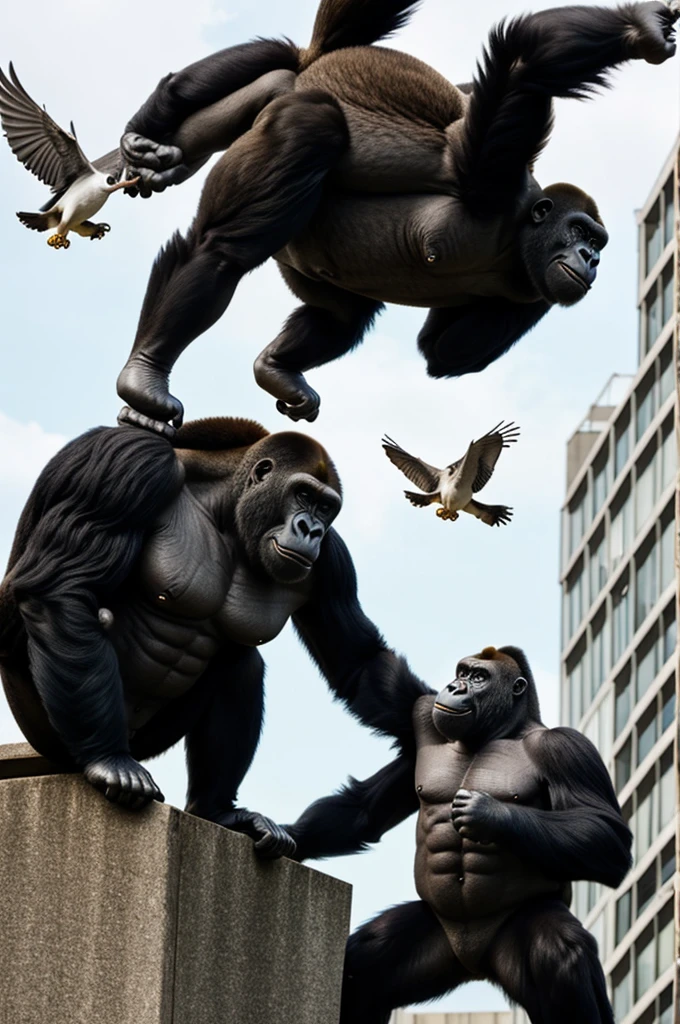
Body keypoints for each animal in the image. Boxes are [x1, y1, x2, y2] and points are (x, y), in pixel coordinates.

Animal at [0, 415, 428, 856]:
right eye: (303, 494)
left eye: (326, 507)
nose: (311, 528)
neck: (226, 507)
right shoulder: (132, 462)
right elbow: (64, 589)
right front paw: (108, 757)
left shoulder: (331, 559)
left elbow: (356, 658)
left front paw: (426, 716)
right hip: (48, 731)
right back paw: (107, 753)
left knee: (240, 662)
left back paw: (217, 810)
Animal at [112, 0, 680, 430]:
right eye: (579, 230)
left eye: (598, 243)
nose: (589, 258)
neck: (517, 242)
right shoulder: (500, 181)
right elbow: (526, 62)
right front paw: (642, 26)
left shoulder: (523, 288)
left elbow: (442, 352)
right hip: (285, 127)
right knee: (243, 221)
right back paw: (147, 373)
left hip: (301, 256)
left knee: (342, 317)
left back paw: (277, 368)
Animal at [284, 647, 630, 1024]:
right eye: (462, 672)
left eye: (478, 677)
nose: (454, 686)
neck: (498, 733)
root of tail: (477, 965)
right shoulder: (422, 715)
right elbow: (366, 670)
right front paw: (285, 836)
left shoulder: (567, 748)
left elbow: (606, 831)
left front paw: (490, 814)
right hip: (438, 944)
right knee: (366, 962)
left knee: (560, 954)